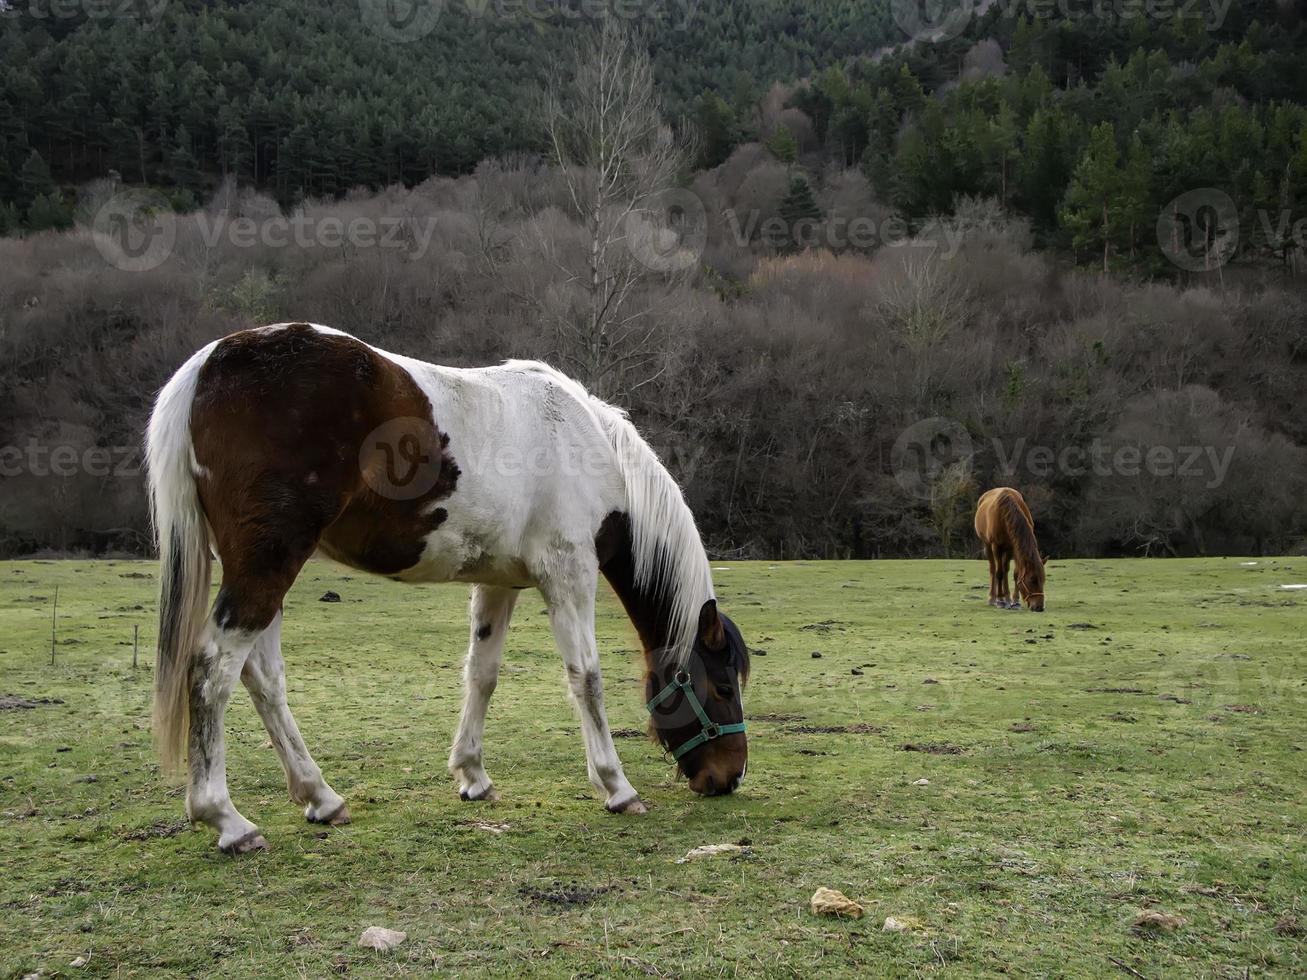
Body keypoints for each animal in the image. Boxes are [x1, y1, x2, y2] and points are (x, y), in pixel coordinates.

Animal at [144, 326, 752, 857]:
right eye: (722, 687)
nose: (729, 777)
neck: (589, 448)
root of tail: (209, 364)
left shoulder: (499, 582)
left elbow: (482, 674)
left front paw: (473, 776)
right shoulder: (569, 573)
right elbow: (587, 679)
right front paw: (616, 786)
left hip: (266, 570)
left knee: (264, 679)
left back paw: (320, 797)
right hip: (267, 564)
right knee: (212, 673)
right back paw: (227, 820)